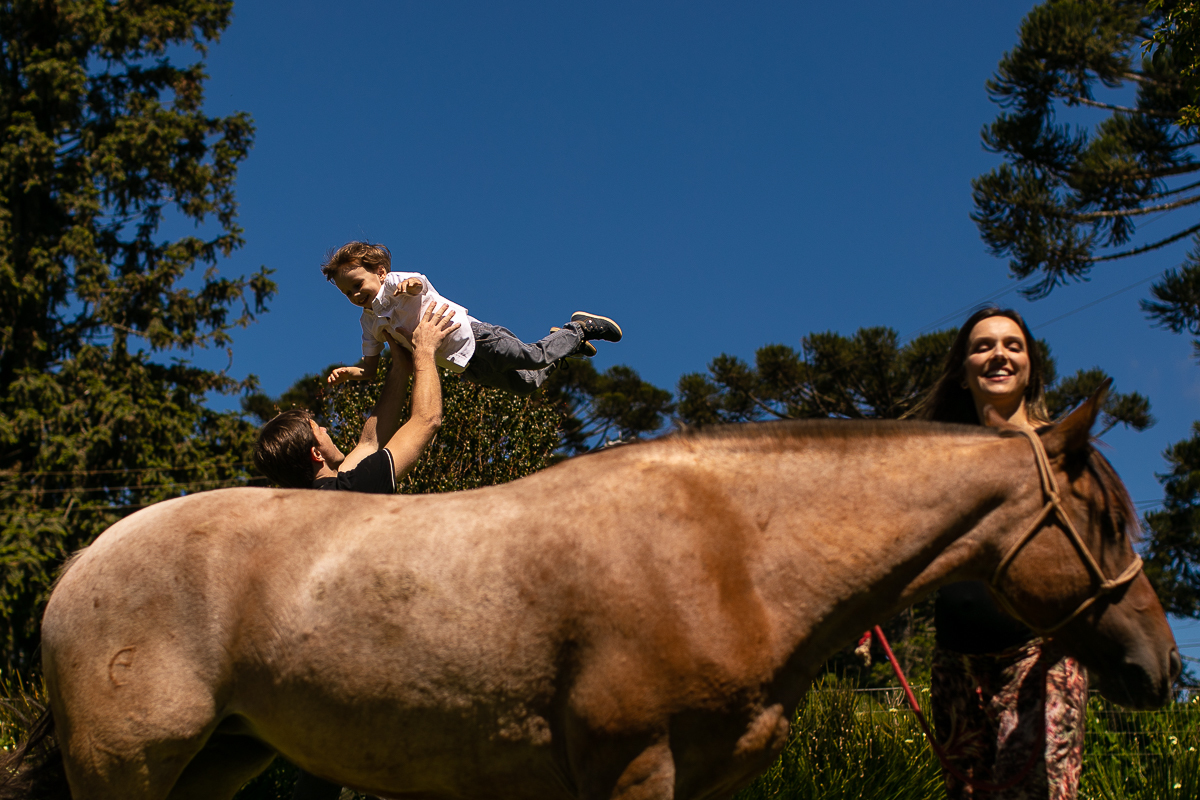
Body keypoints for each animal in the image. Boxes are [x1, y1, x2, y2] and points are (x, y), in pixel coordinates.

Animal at [3, 387, 1179, 800]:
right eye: (1104, 520)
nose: (1161, 667)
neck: (731, 551)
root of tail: (82, 565)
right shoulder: (633, 769)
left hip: (213, 765)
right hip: (128, 768)